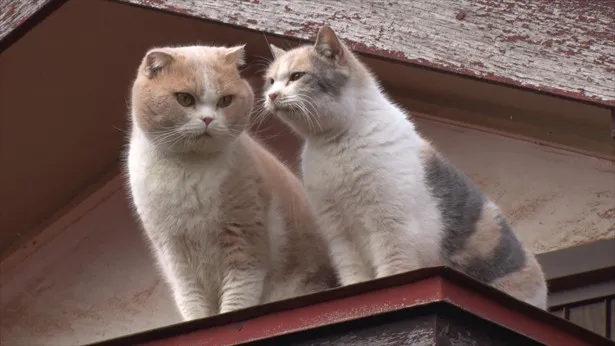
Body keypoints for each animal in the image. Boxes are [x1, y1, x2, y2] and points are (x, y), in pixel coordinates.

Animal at [126, 44, 336, 320]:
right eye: (185, 99)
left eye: (225, 100)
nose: (208, 119)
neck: (189, 171)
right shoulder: (175, 254)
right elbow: (191, 302)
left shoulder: (244, 242)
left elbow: (237, 298)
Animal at [264, 26, 548, 308]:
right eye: (271, 81)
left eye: (296, 76)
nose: (271, 95)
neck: (334, 146)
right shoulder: (341, 236)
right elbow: (354, 278)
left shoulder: (391, 229)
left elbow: (392, 273)